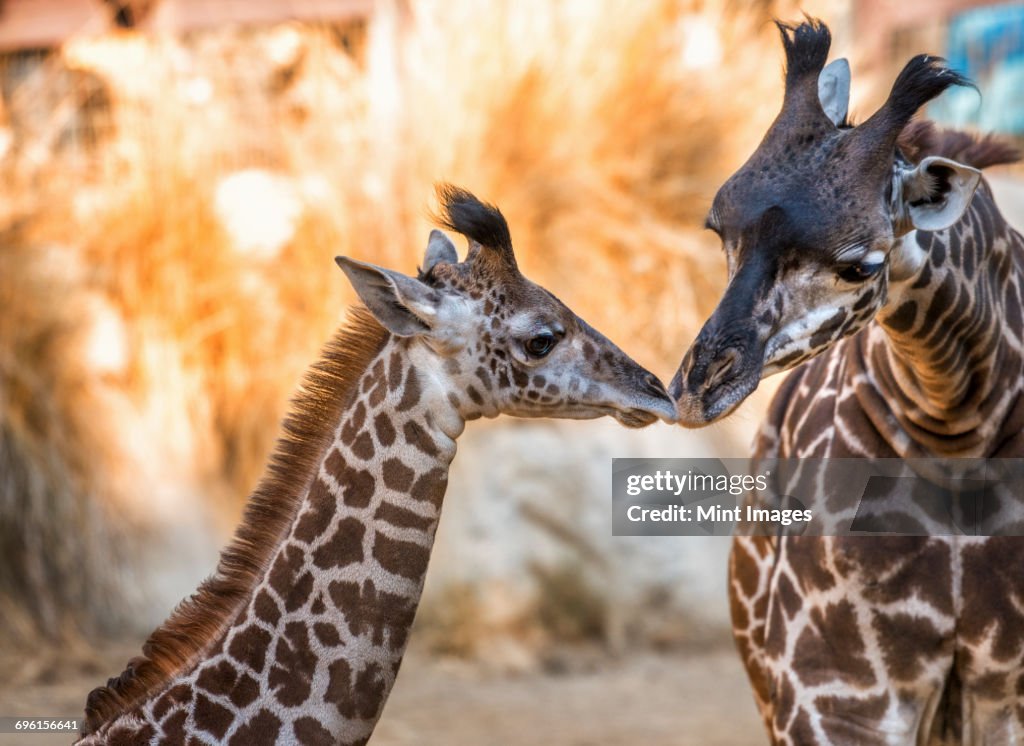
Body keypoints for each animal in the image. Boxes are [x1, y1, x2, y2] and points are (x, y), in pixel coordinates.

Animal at [671, 18, 1024, 744]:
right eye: (718, 229)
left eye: (860, 266)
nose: (697, 389)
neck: (959, 436)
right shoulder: (834, 696)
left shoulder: (1002, 693)